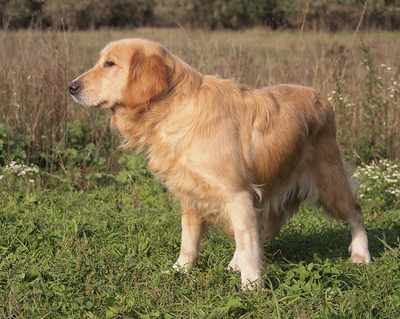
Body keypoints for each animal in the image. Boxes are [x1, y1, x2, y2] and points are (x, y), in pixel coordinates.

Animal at [69, 38, 372, 290]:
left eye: (110, 64)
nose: (71, 87)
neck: (172, 108)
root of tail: (323, 98)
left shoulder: (237, 193)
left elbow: (248, 244)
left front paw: (251, 285)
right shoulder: (192, 195)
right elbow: (189, 242)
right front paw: (180, 270)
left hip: (329, 183)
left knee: (356, 212)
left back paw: (361, 253)